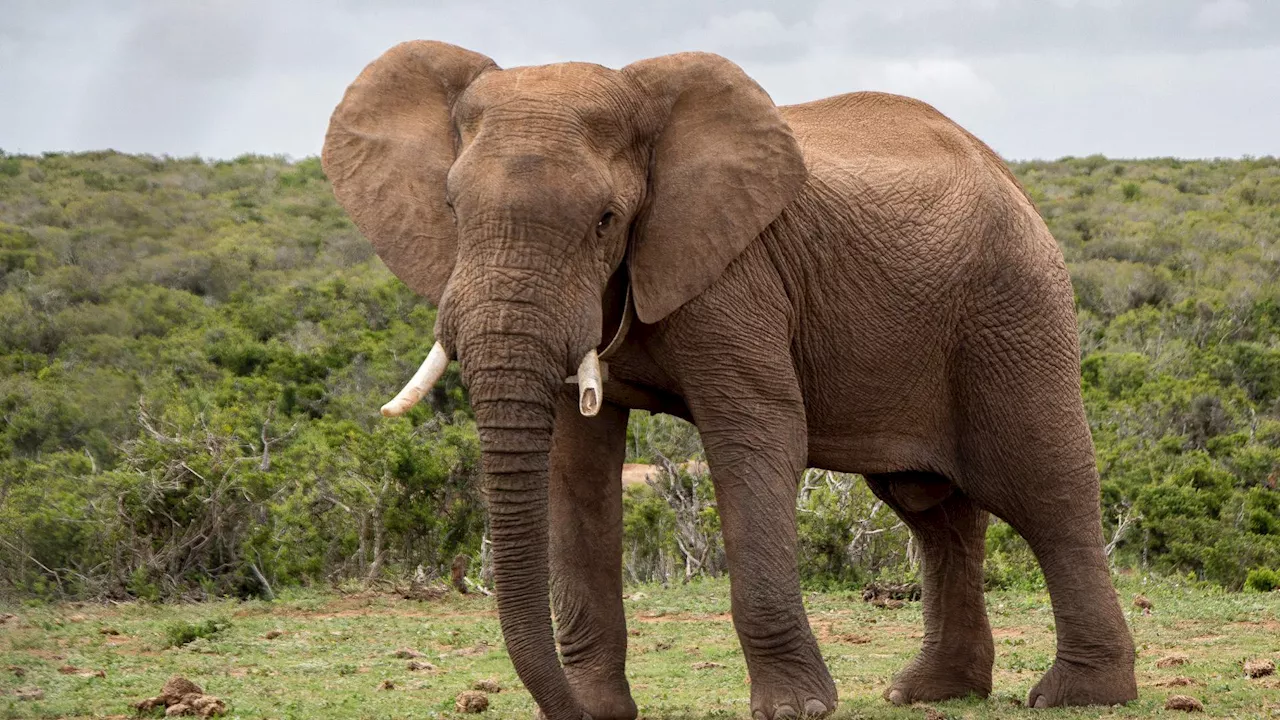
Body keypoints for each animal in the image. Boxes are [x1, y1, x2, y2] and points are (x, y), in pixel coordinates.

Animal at [322, 40, 1141, 717]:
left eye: (607, 219)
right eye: (452, 208)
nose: (570, 711)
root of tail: (1006, 172)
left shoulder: (736, 274)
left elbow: (758, 435)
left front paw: (795, 711)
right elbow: (574, 466)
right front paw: (600, 709)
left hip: (1013, 307)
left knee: (1043, 487)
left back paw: (1078, 696)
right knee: (931, 509)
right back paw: (929, 693)